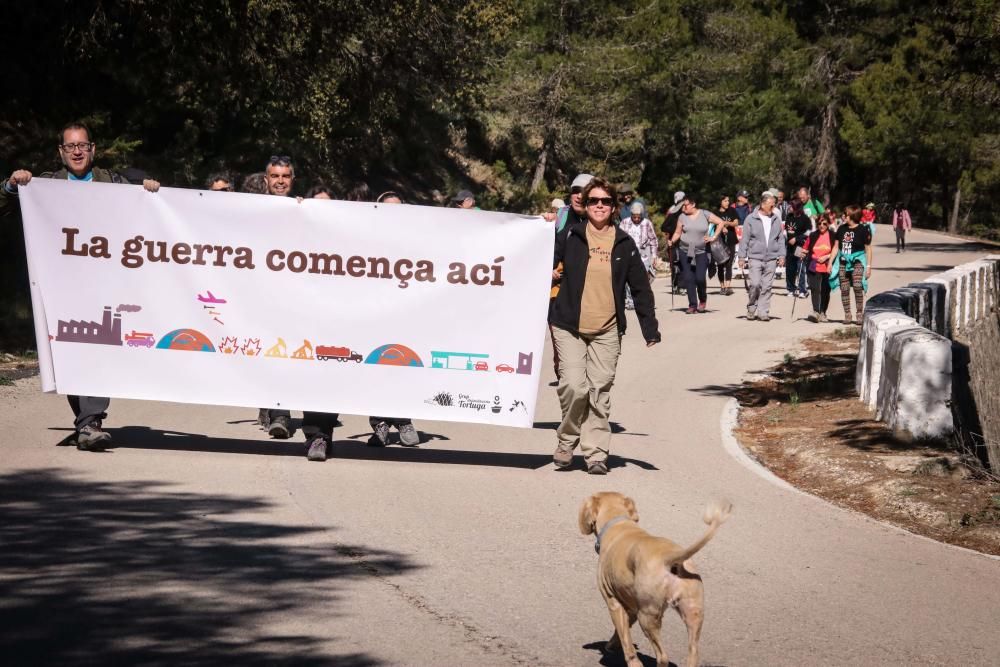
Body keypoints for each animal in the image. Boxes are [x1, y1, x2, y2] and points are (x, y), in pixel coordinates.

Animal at [580, 490, 728, 667]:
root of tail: (670, 558)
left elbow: (626, 639)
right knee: (693, 652)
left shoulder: (614, 603)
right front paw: (612, 644)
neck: (618, 523)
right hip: (693, 613)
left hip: (647, 618)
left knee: (662, 656)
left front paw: (629, 658)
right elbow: (622, 631)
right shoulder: (631, 607)